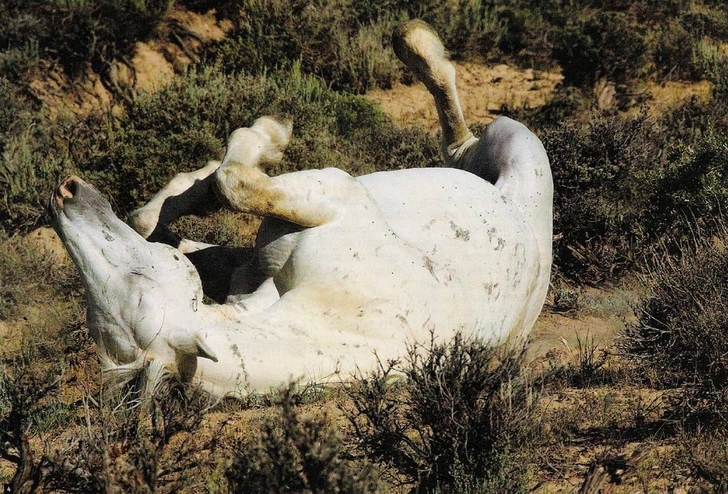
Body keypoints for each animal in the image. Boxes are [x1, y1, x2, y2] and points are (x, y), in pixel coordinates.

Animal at [49, 21, 552, 398]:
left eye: (137, 282)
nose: (64, 195)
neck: (328, 316)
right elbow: (212, 199)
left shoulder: (337, 193)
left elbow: (233, 181)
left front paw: (269, 132)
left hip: (515, 140)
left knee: (459, 137)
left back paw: (416, 44)